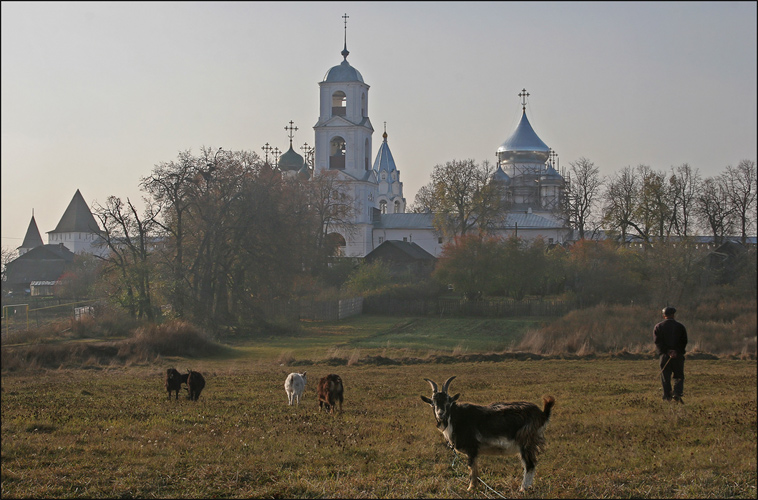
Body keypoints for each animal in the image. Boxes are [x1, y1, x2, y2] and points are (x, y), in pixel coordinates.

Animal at [422, 376, 560, 490]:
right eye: (432, 403)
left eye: (448, 402)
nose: (440, 414)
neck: (454, 418)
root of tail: (542, 414)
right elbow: (475, 469)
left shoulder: (472, 447)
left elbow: (471, 468)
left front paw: (471, 488)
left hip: (526, 441)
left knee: (530, 465)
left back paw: (522, 489)